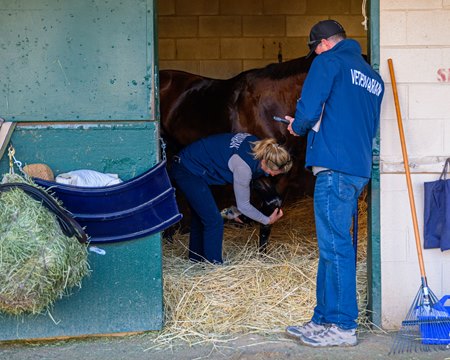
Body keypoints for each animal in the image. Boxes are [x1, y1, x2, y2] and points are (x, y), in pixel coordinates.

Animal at [158, 54, 316, 250]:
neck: (271, 105)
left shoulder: (283, 175)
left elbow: (272, 208)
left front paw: (262, 251)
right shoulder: (253, 169)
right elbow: (271, 203)